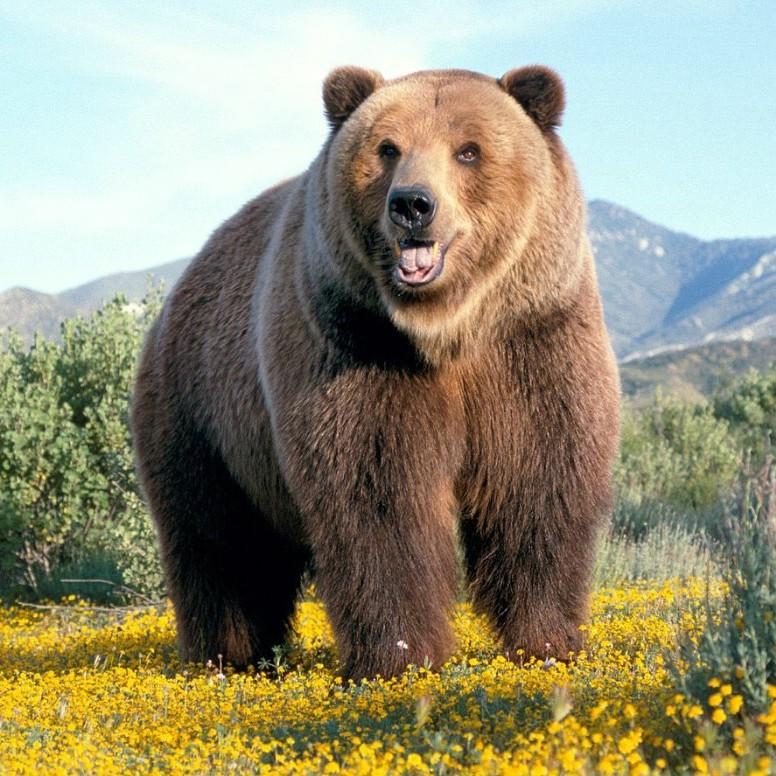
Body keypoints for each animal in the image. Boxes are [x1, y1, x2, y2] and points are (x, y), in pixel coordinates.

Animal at [131, 65, 620, 681]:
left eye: (468, 150)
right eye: (388, 148)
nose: (412, 204)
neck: (447, 329)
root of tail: (177, 291)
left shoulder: (532, 342)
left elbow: (538, 481)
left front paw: (548, 641)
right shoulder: (356, 347)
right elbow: (378, 496)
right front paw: (400, 656)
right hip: (202, 412)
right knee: (219, 541)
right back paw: (228, 654)